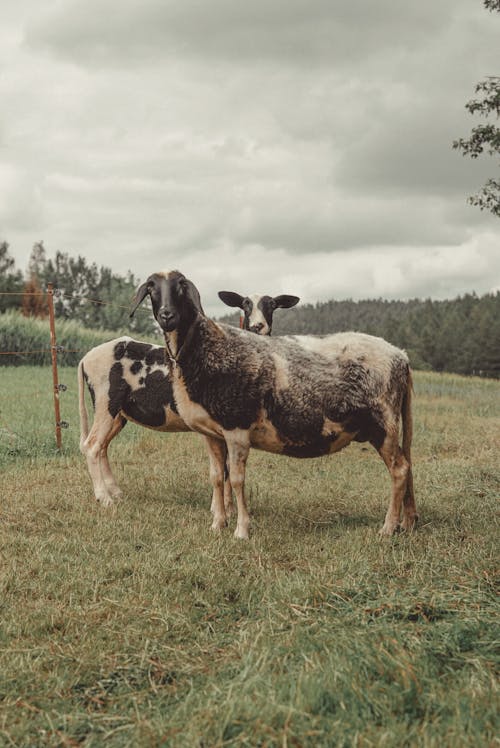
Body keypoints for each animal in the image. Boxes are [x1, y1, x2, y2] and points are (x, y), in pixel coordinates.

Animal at [130, 272, 418, 540]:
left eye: (181, 287)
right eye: (152, 288)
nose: (167, 315)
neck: (204, 348)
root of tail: (401, 357)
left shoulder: (237, 428)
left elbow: (237, 480)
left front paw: (241, 530)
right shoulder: (211, 433)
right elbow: (216, 477)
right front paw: (217, 525)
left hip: (383, 422)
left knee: (399, 470)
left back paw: (388, 528)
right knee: (407, 465)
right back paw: (407, 523)